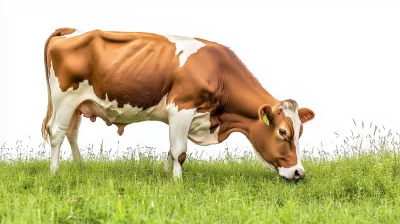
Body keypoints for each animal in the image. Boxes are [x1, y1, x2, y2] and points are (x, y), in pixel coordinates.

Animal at [42, 27, 314, 180]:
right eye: (283, 132)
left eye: (300, 131)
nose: (299, 172)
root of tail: (70, 30)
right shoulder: (181, 107)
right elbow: (180, 151)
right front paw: (177, 181)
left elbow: (172, 149)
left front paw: (166, 175)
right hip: (65, 97)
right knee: (56, 133)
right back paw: (55, 172)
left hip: (79, 104)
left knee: (72, 133)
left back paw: (79, 166)